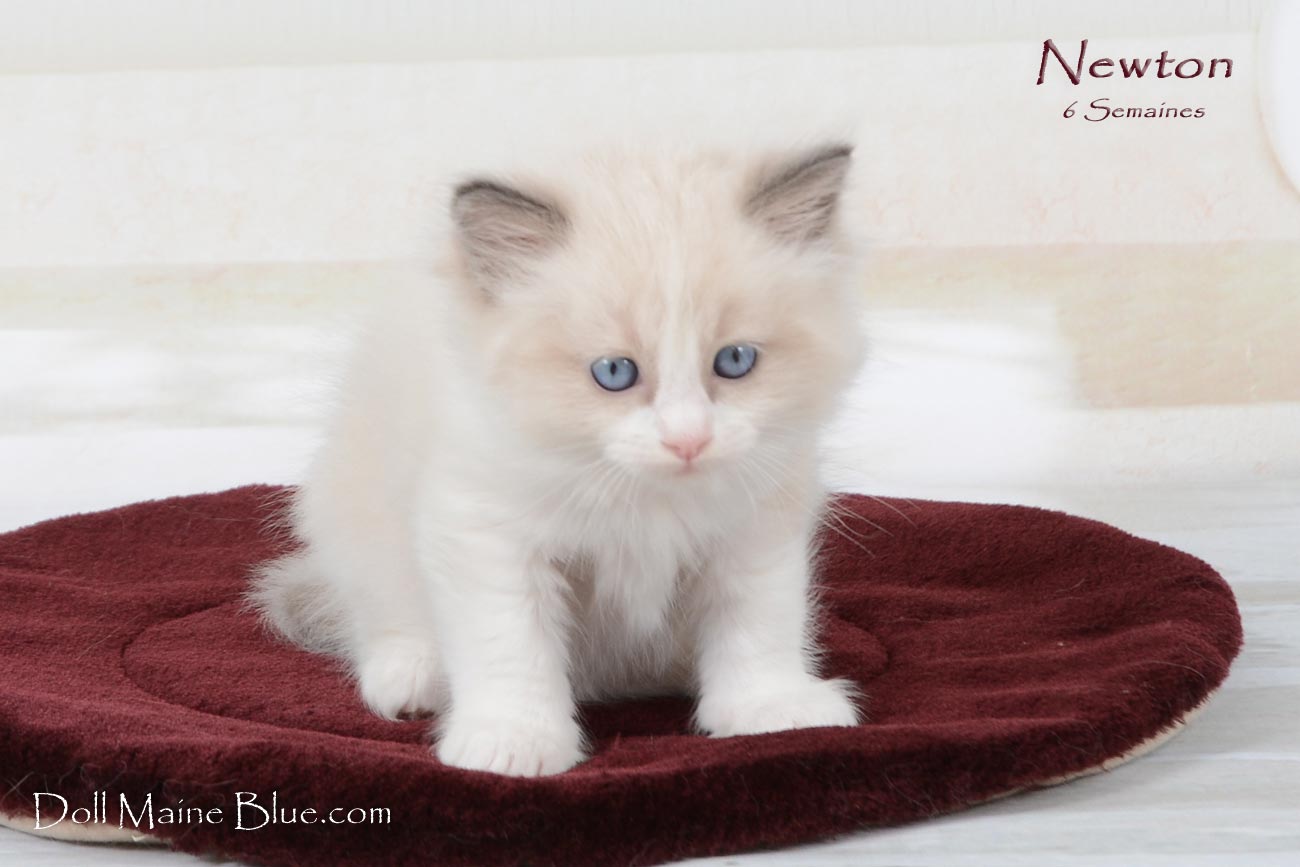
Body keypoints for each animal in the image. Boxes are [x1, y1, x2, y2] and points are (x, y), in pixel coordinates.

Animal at [250, 142, 867, 776]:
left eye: (735, 361)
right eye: (614, 372)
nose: (688, 440)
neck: (645, 499)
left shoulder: (757, 526)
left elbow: (758, 624)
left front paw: (772, 709)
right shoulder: (486, 531)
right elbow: (510, 645)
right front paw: (512, 742)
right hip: (355, 520)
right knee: (379, 614)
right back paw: (412, 676)